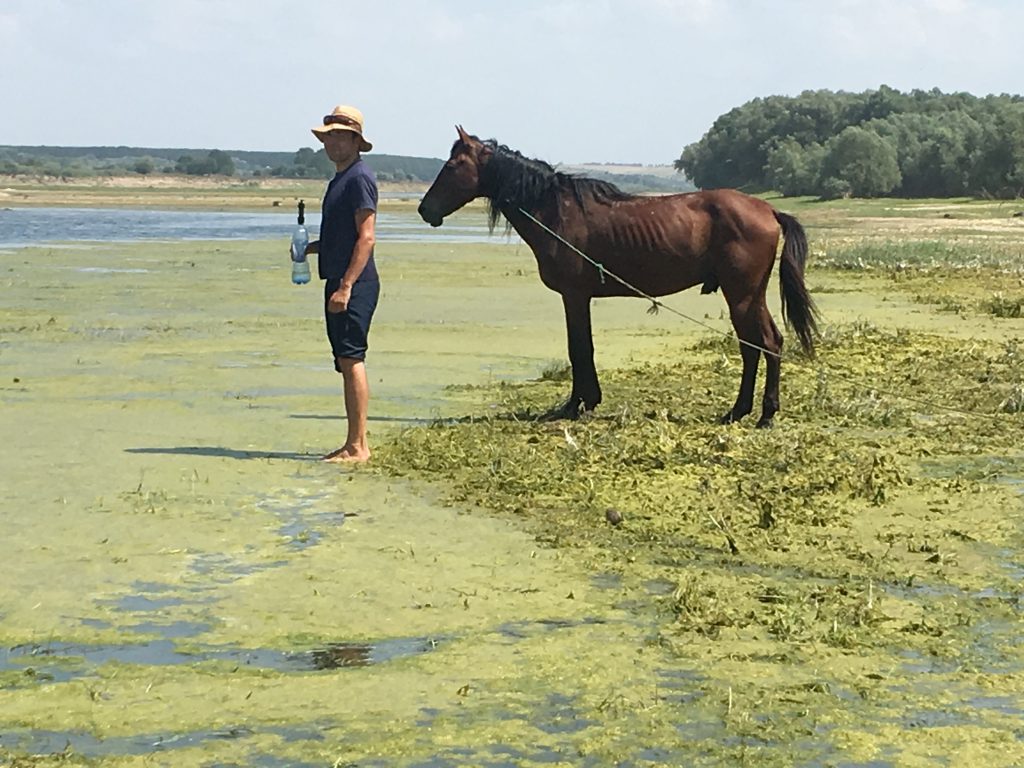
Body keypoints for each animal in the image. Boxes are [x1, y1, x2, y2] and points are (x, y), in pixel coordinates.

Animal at [418, 127, 819, 428]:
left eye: (452, 165)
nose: (424, 210)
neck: (555, 211)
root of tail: (768, 209)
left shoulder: (574, 296)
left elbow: (579, 348)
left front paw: (577, 405)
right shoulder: (577, 298)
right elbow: (580, 347)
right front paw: (583, 401)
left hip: (742, 295)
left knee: (764, 343)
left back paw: (764, 414)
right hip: (748, 296)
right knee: (758, 346)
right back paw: (739, 412)